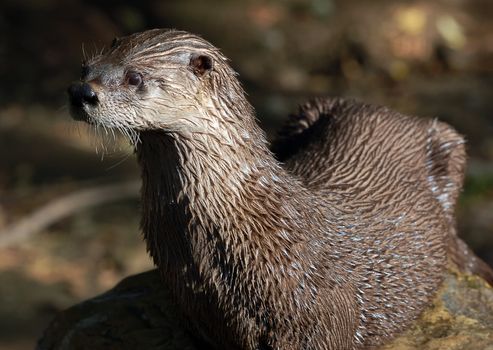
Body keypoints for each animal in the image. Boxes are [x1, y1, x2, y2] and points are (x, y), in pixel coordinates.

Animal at [67, 28, 490, 348]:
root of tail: (387, 109)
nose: (81, 93)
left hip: (447, 140)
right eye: (85, 67)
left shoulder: (321, 310)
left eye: (134, 77)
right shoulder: (195, 309)